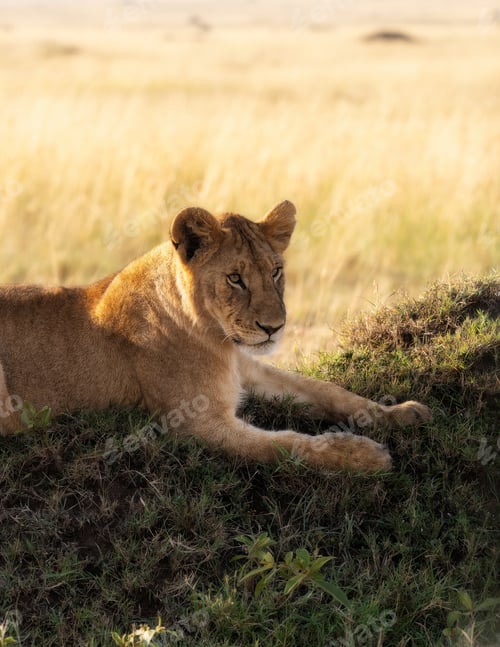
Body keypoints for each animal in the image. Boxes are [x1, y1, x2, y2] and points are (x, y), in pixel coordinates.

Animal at [0, 200, 432, 471]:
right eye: (235, 278)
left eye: (276, 271)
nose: (274, 327)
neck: (215, 337)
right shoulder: (196, 422)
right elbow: (286, 443)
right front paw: (363, 456)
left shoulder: (247, 369)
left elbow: (329, 390)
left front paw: (400, 413)